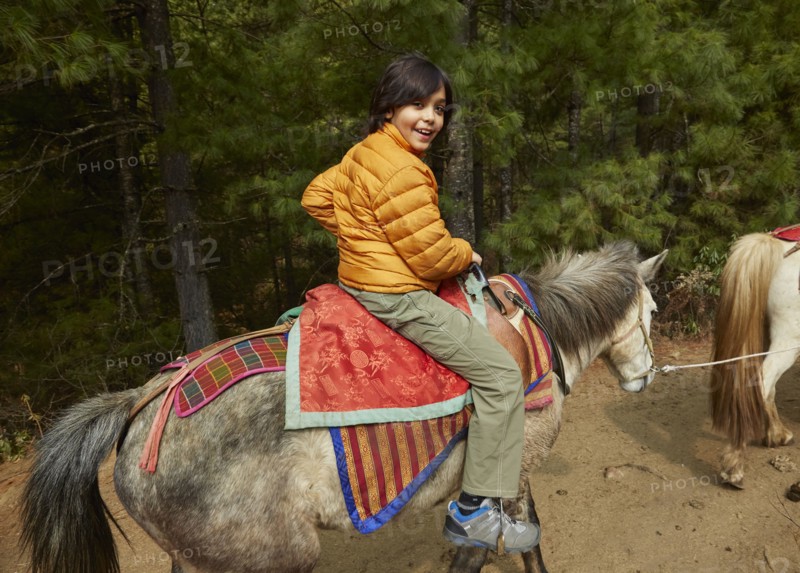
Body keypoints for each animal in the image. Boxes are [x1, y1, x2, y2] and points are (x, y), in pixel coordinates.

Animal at [21, 241, 667, 573]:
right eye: (655, 311)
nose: (646, 376)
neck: (536, 332)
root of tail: (143, 404)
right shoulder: (516, 466)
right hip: (279, 558)